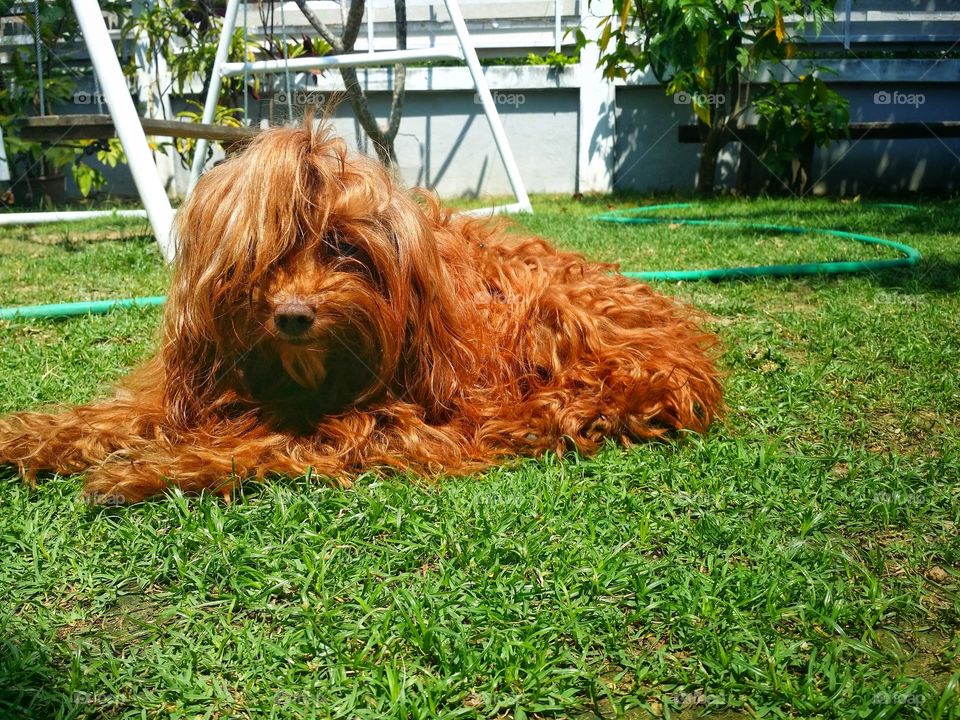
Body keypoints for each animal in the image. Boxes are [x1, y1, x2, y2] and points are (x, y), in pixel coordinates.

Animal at [0, 124, 720, 504]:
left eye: (343, 247)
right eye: (261, 255)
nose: (293, 316)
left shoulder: (406, 417)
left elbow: (275, 442)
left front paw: (149, 468)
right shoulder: (190, 390)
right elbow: (113, 417)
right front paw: (32, 436)